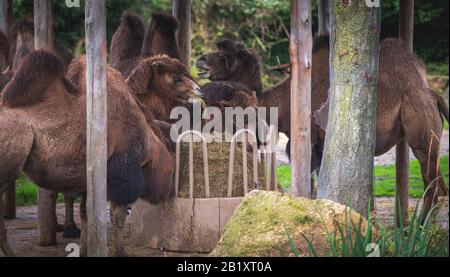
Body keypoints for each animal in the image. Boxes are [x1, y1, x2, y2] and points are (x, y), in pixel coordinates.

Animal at [0, 50, 181, 256]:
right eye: (172, 170)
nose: (168, 191)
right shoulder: (123, 172)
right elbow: (117, 216)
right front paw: (121, 252)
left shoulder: (89, 179)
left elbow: (85, 213)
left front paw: (84, 250)